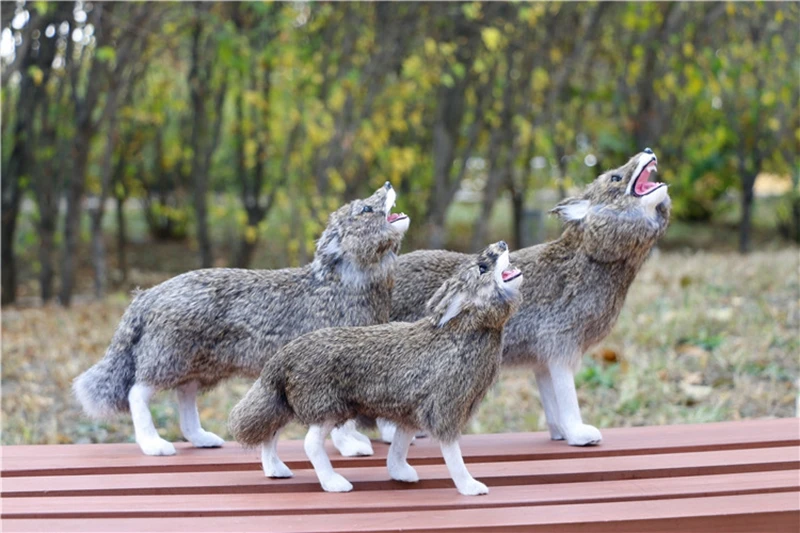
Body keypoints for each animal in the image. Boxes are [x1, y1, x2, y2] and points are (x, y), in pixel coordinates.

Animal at [74, 183, 409, 456]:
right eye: (365, 209)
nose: (388, 184)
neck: (343, 281)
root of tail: (149, 295)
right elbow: (338, 420)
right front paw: (351, 447)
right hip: (168, 357)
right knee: (137, 392)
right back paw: (153, 444)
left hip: (199, 364)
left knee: (185, 396)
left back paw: (201, 438)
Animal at [228, 241, 523, 495]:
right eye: (482, 267)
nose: (502, 244)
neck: (463, 329)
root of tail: (284, 357)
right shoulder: (444, 410)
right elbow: (453, 454)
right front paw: (471, 487)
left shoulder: (409, 414)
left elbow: (399, 446)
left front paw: (401, 474)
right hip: (329, 408)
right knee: (309, 443)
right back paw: (335, 483)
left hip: (289, 403)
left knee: (270, 432)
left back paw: (276, 470)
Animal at [388, 149, 670, 446]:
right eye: (615, 178)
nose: (648, 151)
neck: (591, 255)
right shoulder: (560, 345)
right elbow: (567, 397)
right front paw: (580, 435)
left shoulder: (542, 362)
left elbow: (551, 401)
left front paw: (560, 434)